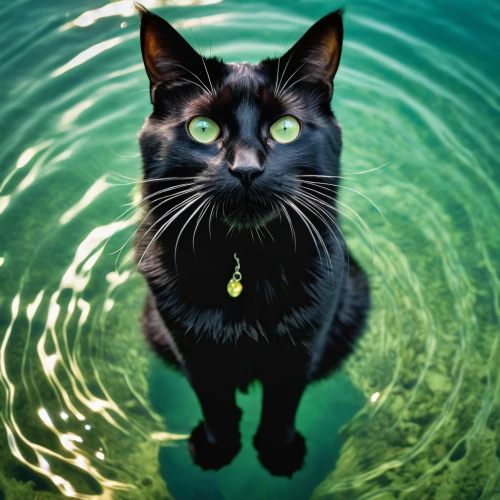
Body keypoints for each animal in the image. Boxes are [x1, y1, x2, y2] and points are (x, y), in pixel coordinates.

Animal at [135, 4, 370, 480]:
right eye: (203, 128)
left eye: (286, 128)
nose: (246, 168)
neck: (245, 258)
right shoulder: (191, 349)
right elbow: (215, 403)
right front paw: (217, 449)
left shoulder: (304, 344)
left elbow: (282, 404)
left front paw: (278, 453)